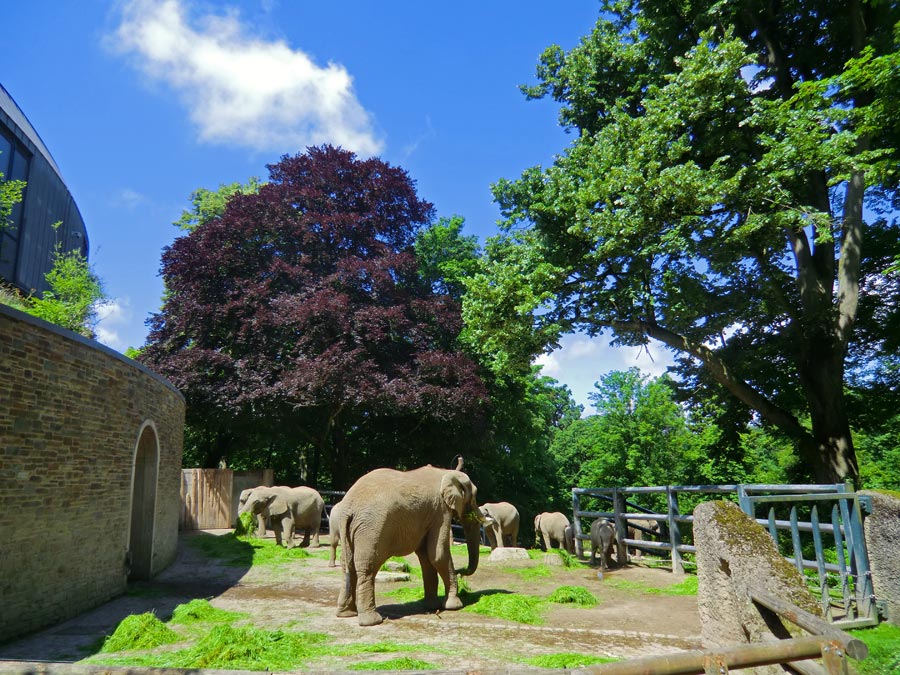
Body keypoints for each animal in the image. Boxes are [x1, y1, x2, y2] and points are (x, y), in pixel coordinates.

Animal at [338, 468, 492, 624]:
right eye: (474, 497)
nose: (461, 571)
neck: (446, 472)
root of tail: (348, 508)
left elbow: (426, 557)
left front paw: (432, 606)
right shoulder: (440, 511)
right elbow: (438, 555)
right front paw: (454, 606)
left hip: (353, 531)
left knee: (348, 565)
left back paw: (346, 614)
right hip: (370, 530)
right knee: (368, 567)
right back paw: (372, 621)